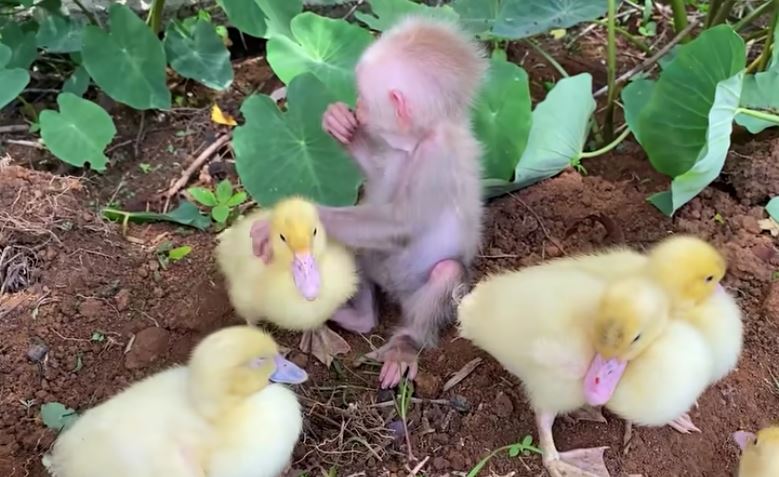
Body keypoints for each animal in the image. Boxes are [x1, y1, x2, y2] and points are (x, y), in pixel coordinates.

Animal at [254, 15, 488, 386]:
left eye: (364, 96)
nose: (359, 108)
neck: (418, 140)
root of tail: (395, 292)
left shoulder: (436, 158)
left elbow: (399, 223)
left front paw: (299, 216)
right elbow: (377, 181)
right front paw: (343, 128)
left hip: (425, 289)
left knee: (446, 273)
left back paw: (406, 344)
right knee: (357, 244)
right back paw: (359, 316)